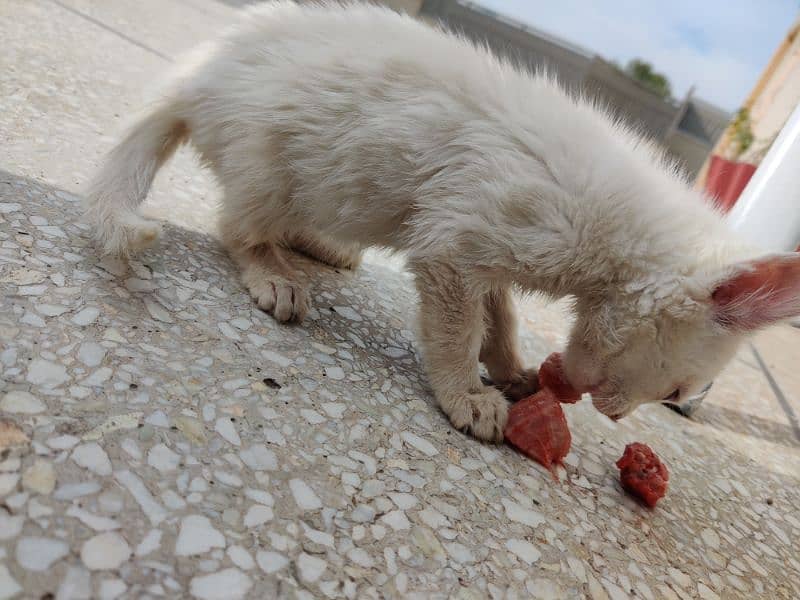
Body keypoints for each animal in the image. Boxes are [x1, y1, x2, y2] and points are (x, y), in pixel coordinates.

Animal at [84, 0, 800, 440]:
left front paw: (511, 367)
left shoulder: (489, 238)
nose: (618, 417)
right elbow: (457, 328)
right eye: (678, 389)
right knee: (239, 226)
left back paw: (322, 245)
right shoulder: (458, 239)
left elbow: (500, 312)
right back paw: (275, 272)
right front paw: (466, 396)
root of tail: (200, 73)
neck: (619, 240)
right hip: (274, 162)